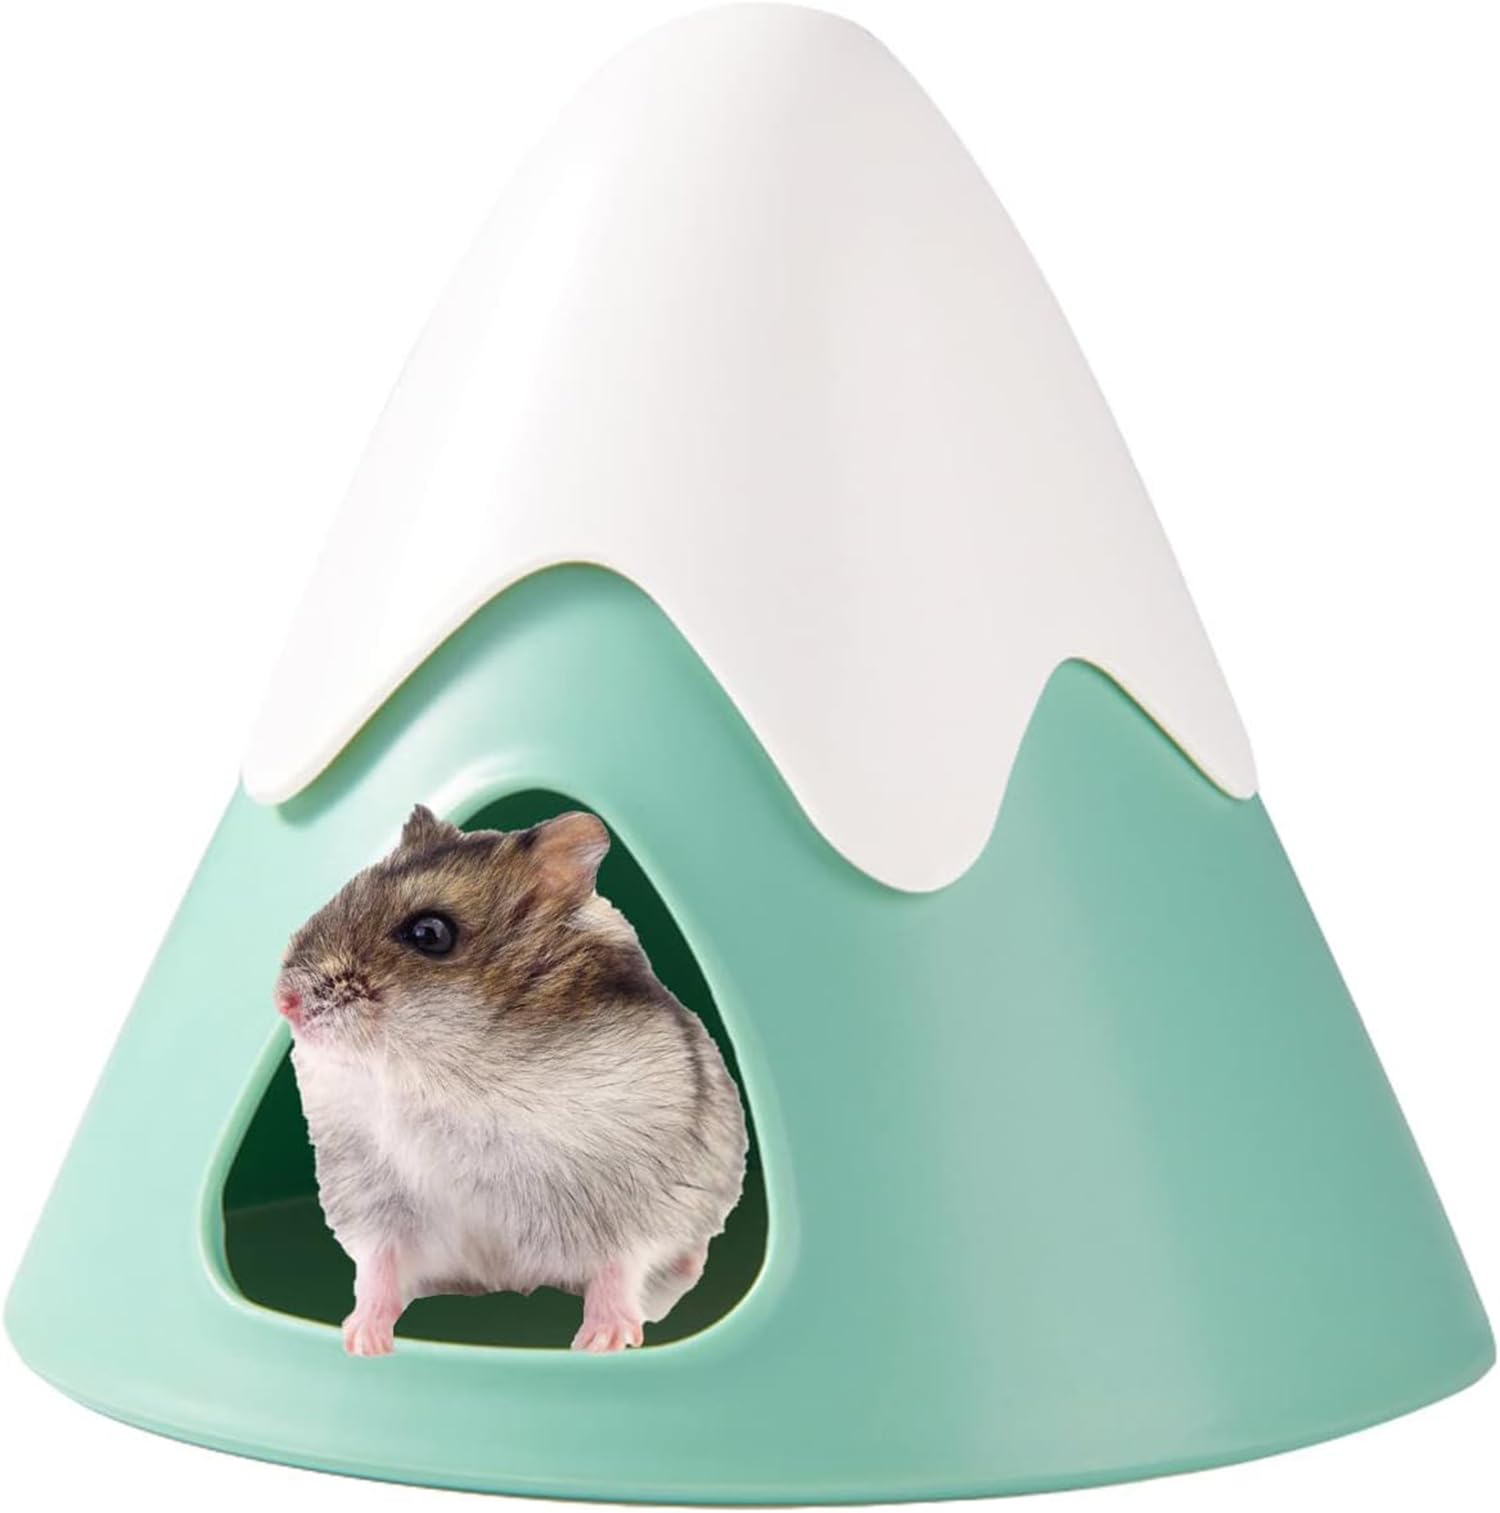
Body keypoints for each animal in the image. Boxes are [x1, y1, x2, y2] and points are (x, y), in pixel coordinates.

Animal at [273, 804, 747, 1356]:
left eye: (430, 933)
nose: (284, 1002)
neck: (440, 1075)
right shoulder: (373, 1201)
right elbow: (378, 1267)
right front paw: (361, 1340)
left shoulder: (638, 1199)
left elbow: (620, 1266)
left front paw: (598, 1342)